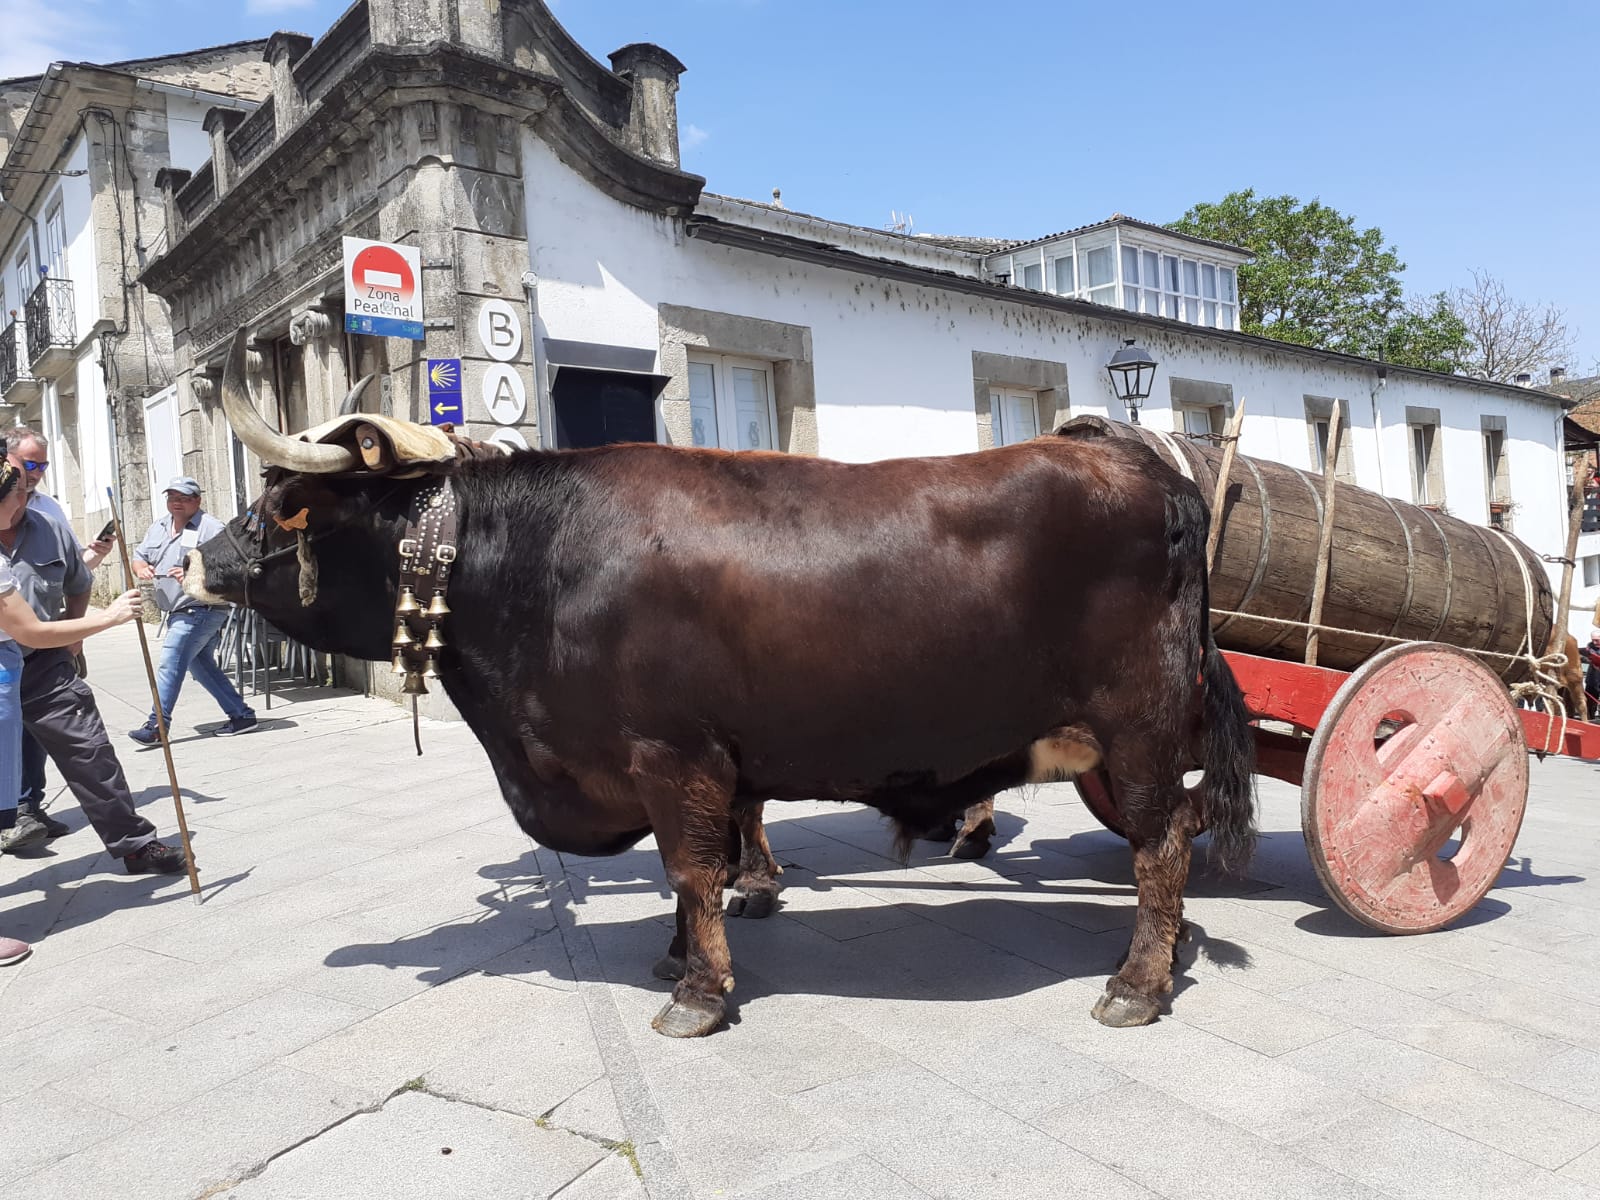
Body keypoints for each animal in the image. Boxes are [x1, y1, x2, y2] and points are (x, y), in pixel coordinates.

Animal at [186, 332, 1256, 1037]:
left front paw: (697, 993)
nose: (195, 562)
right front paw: (675, 953)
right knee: (1170, 843)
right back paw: (1169, 947)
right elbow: (692, 872)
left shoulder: (673, 755)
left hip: (1142, 729)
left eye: (280, 508)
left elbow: (693, 869)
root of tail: (1147, 468)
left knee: (1163, 841)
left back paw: (1138, 982)